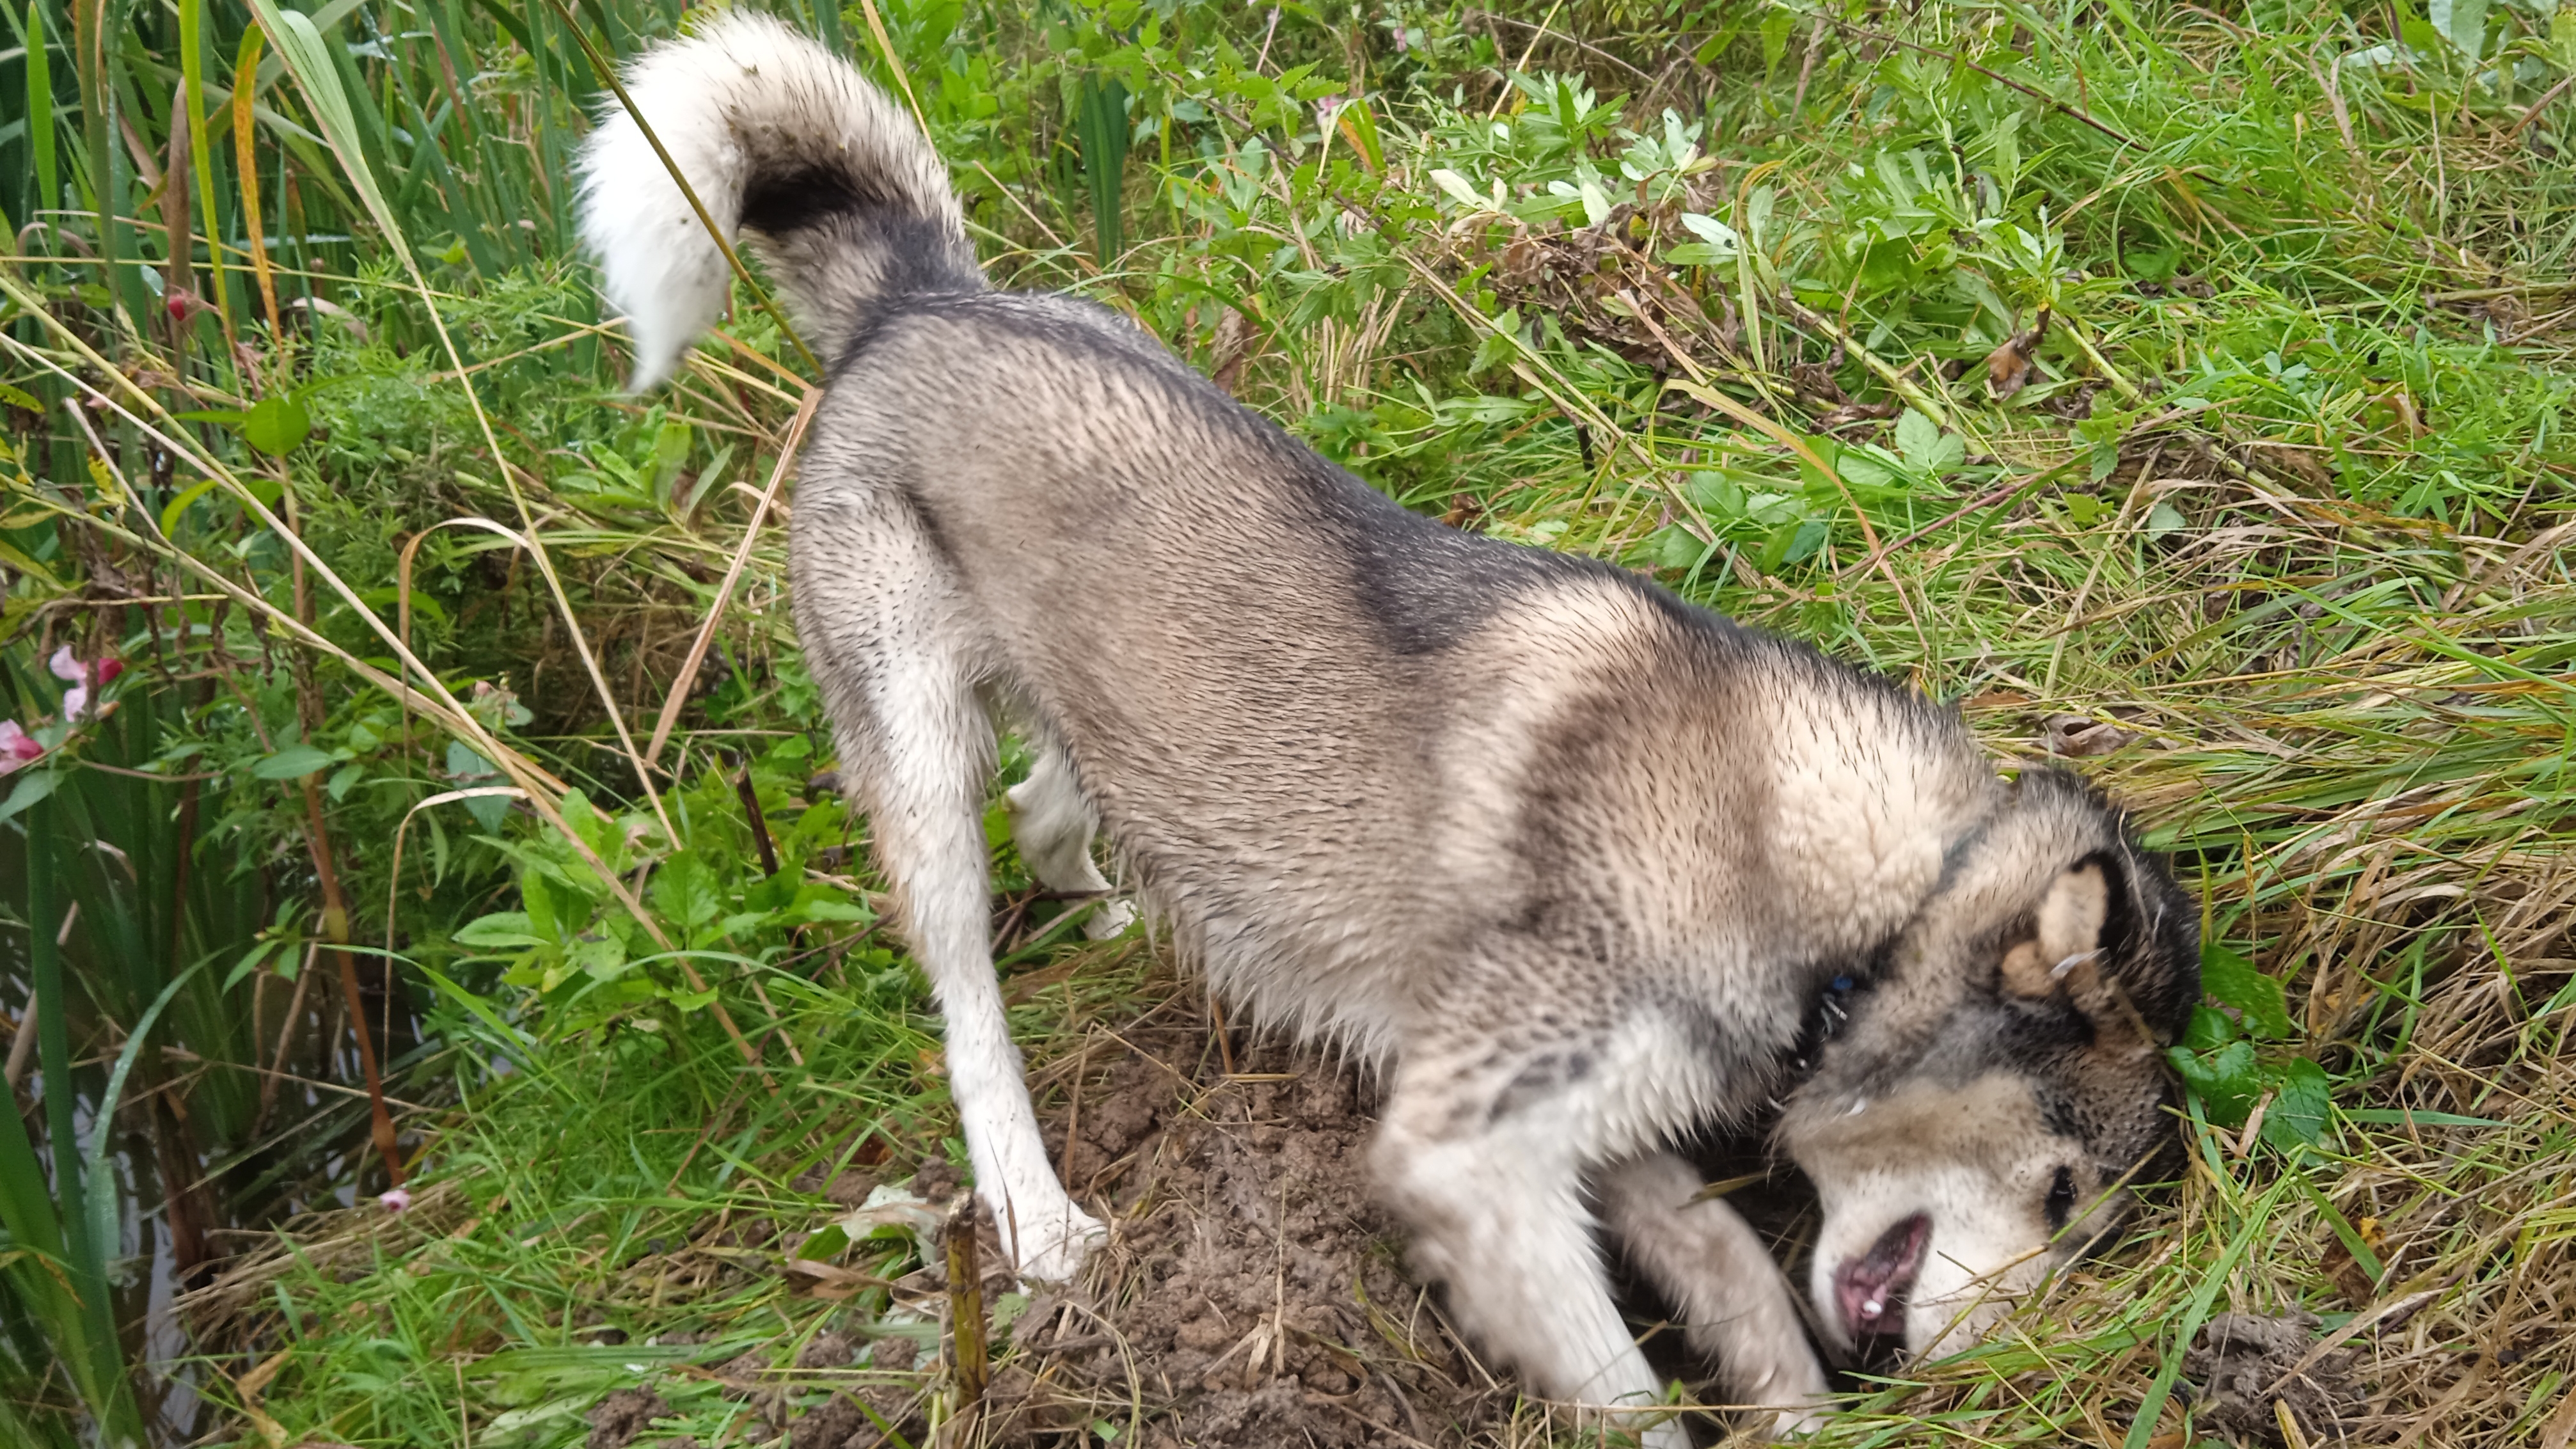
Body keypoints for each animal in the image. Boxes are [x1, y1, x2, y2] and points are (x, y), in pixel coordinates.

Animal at [580, 17, 2195, 1433]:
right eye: (2065, 1193)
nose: (2001, 1381)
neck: (1845, 883)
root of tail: (919, 297)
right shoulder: (1468, 1157)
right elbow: (1629, 1395)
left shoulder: (1597, 1150)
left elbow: (1742, 1291)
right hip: (918, 761)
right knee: (967, 988)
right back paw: (1034, 1208)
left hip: (1102, 715)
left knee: (1051, 807)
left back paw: (1119, 909)